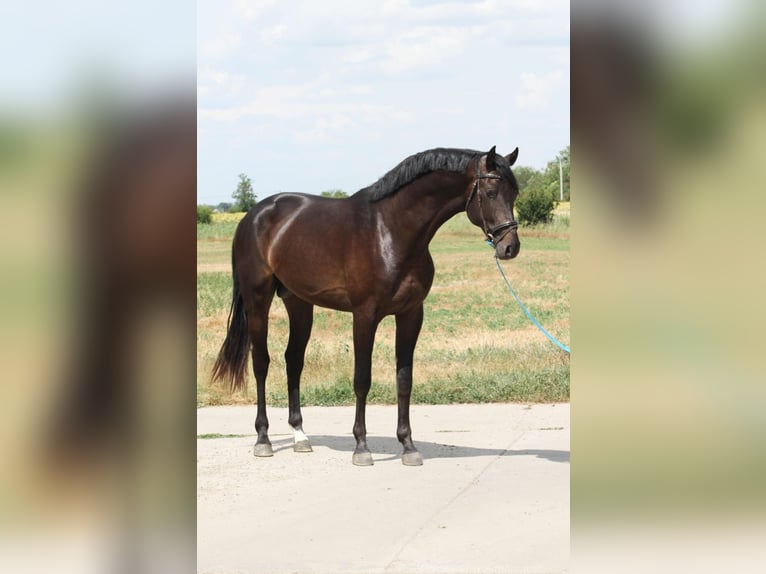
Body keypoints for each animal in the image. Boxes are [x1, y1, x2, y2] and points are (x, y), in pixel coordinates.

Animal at [213, 146, 520, 466]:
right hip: (257, 301)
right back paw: (263, 439)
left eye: (515, 193)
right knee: (261, 363)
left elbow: (404, 379)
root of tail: (253, 216)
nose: (510, 247)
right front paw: (361, 447)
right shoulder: (364, 315)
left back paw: (300, 436)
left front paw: (408, 446)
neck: (390, 231)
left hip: (299, 303)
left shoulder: (411, 314)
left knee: (293, 360)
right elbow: (362, 379)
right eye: (491, 192)